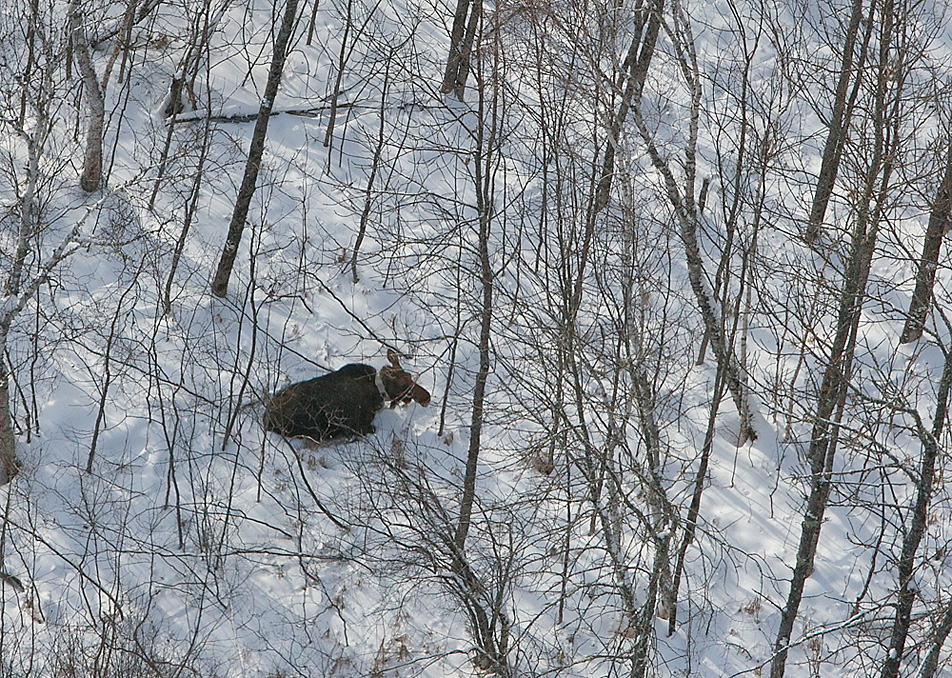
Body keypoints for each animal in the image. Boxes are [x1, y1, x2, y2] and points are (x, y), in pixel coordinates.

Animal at [264, 349, 431, 442]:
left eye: (409, 375)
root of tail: (266, 417)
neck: (378, 390)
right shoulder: (359, 426)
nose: (426, 397)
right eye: (403, 384)